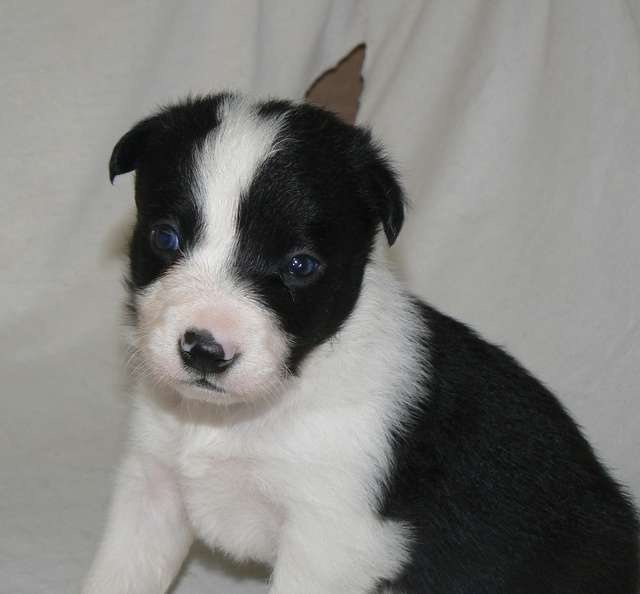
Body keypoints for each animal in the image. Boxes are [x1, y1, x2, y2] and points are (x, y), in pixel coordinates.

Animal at [82, 93, 636, 592]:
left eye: (300, 265)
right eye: (166, 238)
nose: (204, 350)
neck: (246, 416)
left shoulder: (331, 541)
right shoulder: (151, 490)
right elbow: (118, 575)